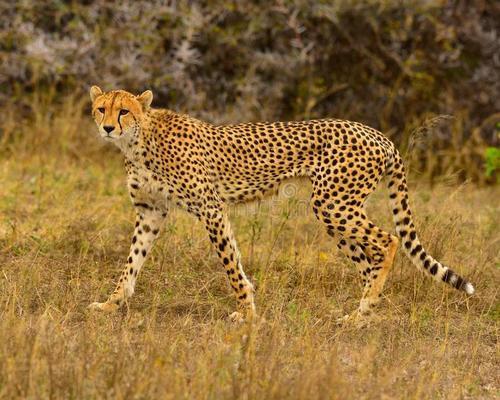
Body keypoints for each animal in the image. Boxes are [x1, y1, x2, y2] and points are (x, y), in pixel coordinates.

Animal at [88, 86, 474, 322]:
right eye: (101, 109)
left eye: (124, 112)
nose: (106, 128)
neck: (139, 141)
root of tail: (377, 134)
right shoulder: (151, 212)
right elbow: (132, 262)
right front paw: (111, 303)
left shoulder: (212, 209)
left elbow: (231, 264)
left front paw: (246, 312)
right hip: (336, 209)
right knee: (368, 260)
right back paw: (361, 313)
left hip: (332, 203)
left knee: (389, 240)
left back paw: (364, 311)